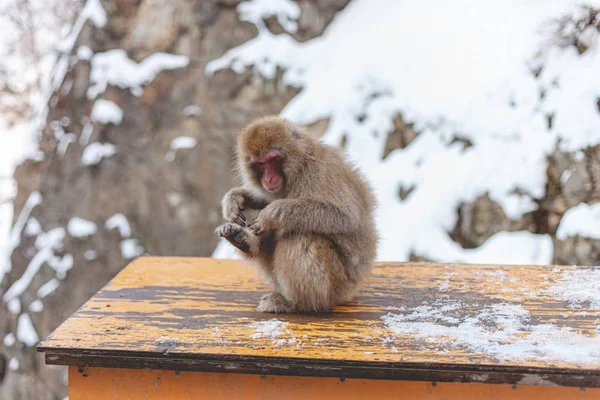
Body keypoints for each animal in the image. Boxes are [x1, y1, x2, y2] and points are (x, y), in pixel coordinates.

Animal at [218, 115, 378, 312]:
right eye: (260, 164)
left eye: (273, 160)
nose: (268, 179)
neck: (300, 165)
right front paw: (236, 198)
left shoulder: (320, 171)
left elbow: (344, 217)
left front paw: (271, 214)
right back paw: (242, 240)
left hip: (338, 284)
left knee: (301, 235)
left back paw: (297, 303)